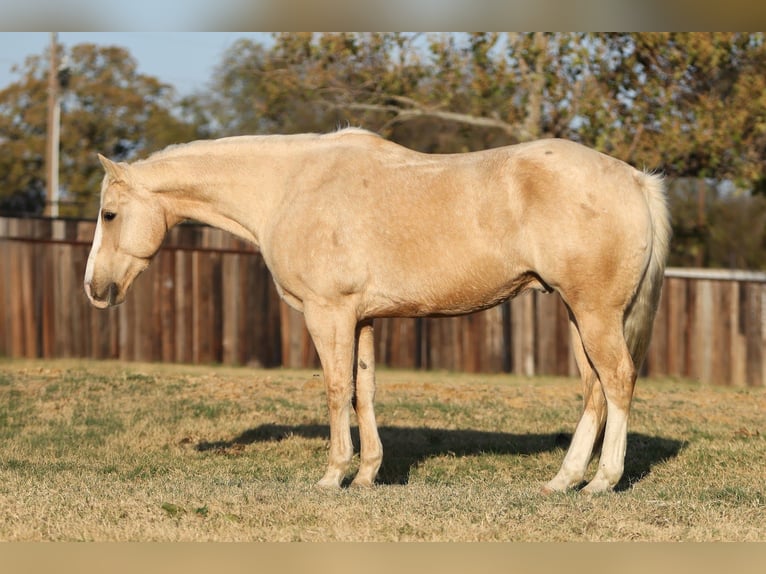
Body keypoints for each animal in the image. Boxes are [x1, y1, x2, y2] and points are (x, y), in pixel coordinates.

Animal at [84, 128, 670, 493]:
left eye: (109, 214)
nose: (94, 288)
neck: (290, 187)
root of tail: (635, 179)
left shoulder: (328, 314)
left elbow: (335, 389)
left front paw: (332, 476)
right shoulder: (361, 318)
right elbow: (363, 389)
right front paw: (366, 475)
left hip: (594, 314)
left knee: (618, 382)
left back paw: (602, 481)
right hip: (579, 315)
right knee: (595, 391)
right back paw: (564, 480)